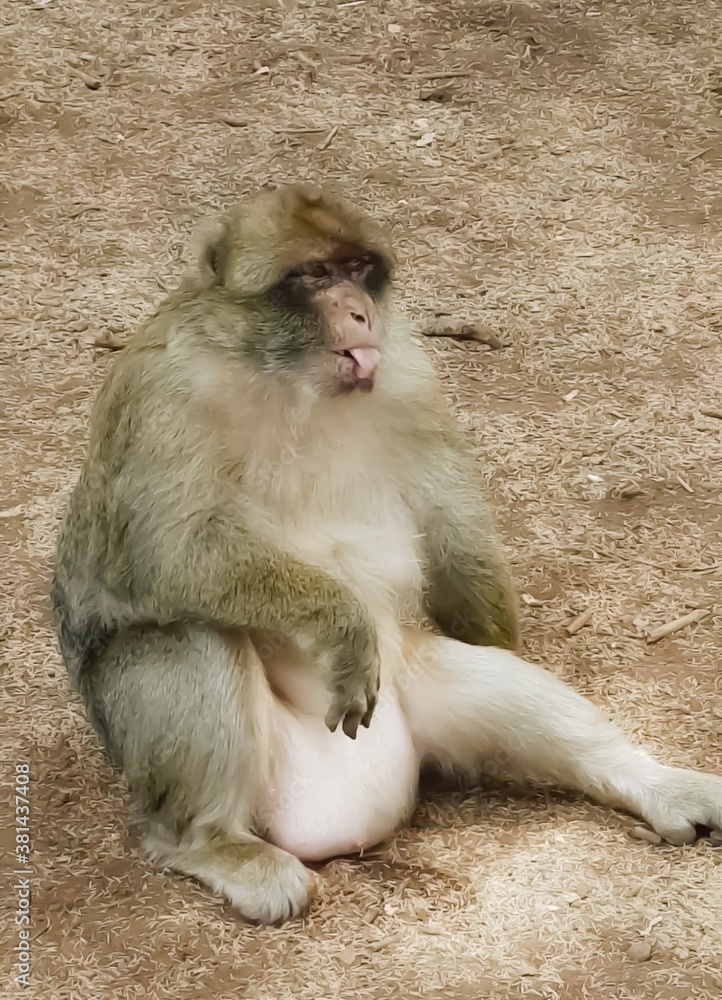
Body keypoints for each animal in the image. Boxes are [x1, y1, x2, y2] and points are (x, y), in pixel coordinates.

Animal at [52, 183, 722, 924]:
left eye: (357, 268)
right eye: (315, 275)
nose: (357, 310)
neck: (287, 380)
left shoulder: (407, 372)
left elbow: (445, 509)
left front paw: (493, 627)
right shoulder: (164, 394)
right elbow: (162, 551)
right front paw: (339, 619)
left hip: (406, 685)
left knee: (489, 683)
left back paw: (654, 782)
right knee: (182, 637)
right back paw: (213, 843)